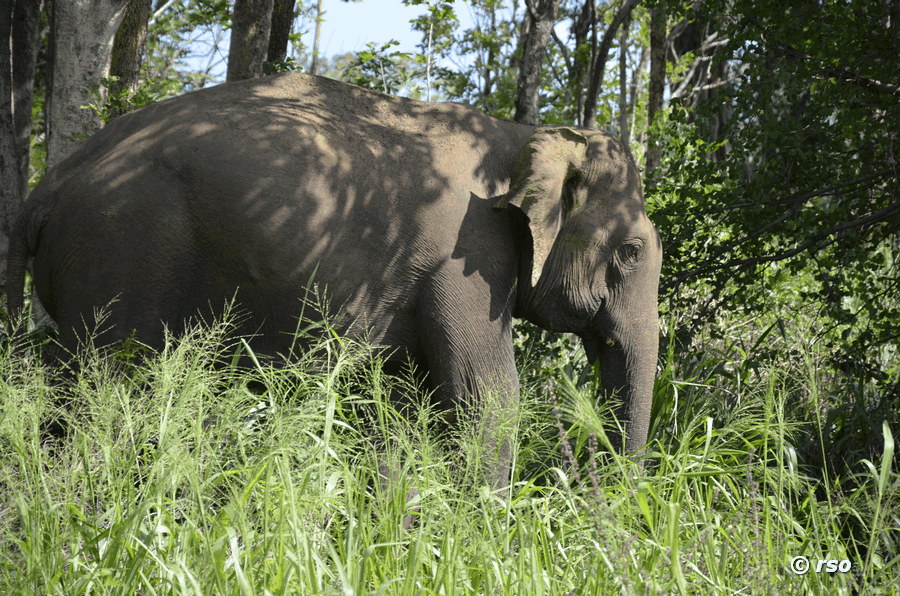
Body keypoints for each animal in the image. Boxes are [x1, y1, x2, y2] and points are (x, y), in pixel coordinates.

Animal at [6, 73, 661, 486]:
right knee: (105, 389)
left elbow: (399, 412)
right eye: (630, 253)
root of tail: (43, 191)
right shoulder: (465, 257)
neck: (519, 136)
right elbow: (487, 398)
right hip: (118, 252)